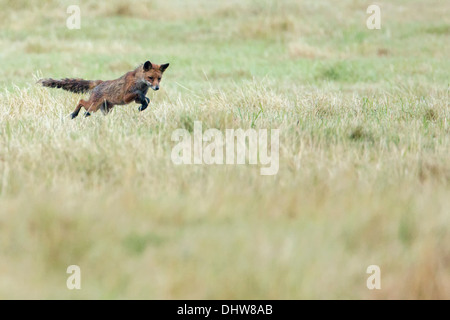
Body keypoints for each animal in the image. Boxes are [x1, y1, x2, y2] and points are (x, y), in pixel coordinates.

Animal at [38, 60, 169, 118]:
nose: (157, 88)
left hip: (105, 109)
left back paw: (85, 114)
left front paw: (143, 106)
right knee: (81, 101)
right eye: (150, 78)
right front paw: (143, 105)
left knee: (88, 109)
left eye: (159, 78)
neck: (140, 83)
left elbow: (146, 99)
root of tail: (100, 82)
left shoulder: (136, 98)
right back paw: (74, 114)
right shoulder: (127, 96)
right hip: (94, 105)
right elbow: (140, 95)